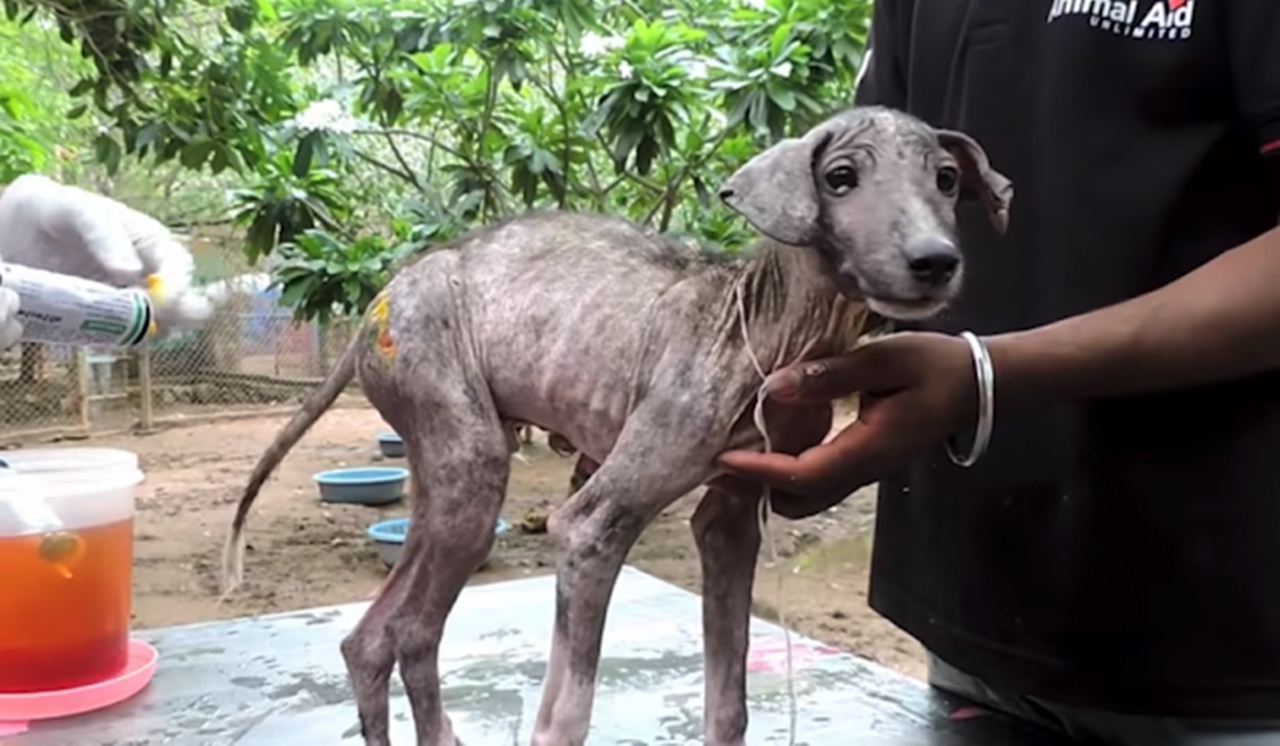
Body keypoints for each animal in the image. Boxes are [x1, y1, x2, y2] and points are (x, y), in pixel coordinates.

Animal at [225, 106, 1013, 746]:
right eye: (841, 177)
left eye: (946, 179)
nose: (935, 262)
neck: (767, 325)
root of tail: (375, 307)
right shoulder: (591, 525)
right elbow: (564, 716)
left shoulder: (732, 519)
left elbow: (730, 704)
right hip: (465, 452)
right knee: (408, 628)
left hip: (445, 477)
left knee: (378, 637)